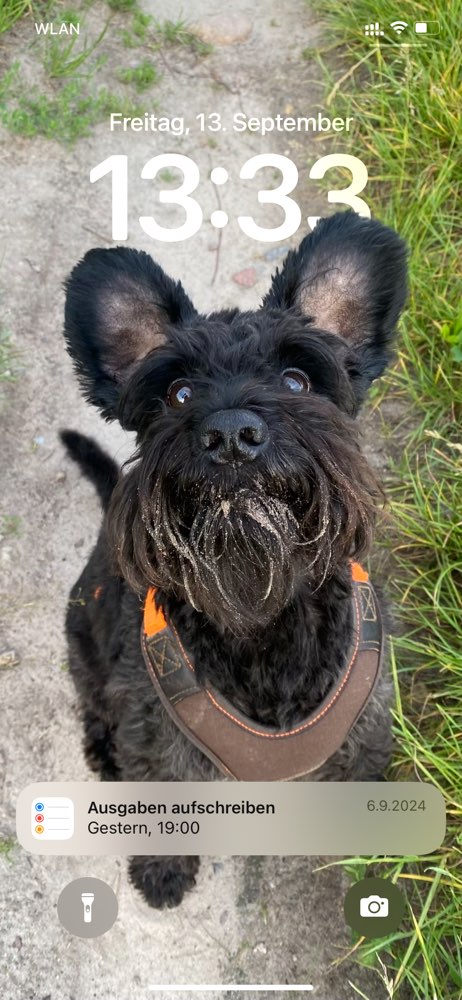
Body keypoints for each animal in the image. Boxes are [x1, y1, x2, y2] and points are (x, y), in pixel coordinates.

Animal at [60, 215, 408, 912]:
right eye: (177, 392)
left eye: (298, 379)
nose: (229, 435)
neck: (257, 605)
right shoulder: (156, 741)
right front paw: (162, 872)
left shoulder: (364, 732)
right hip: (84, 644)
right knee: (91, 701)